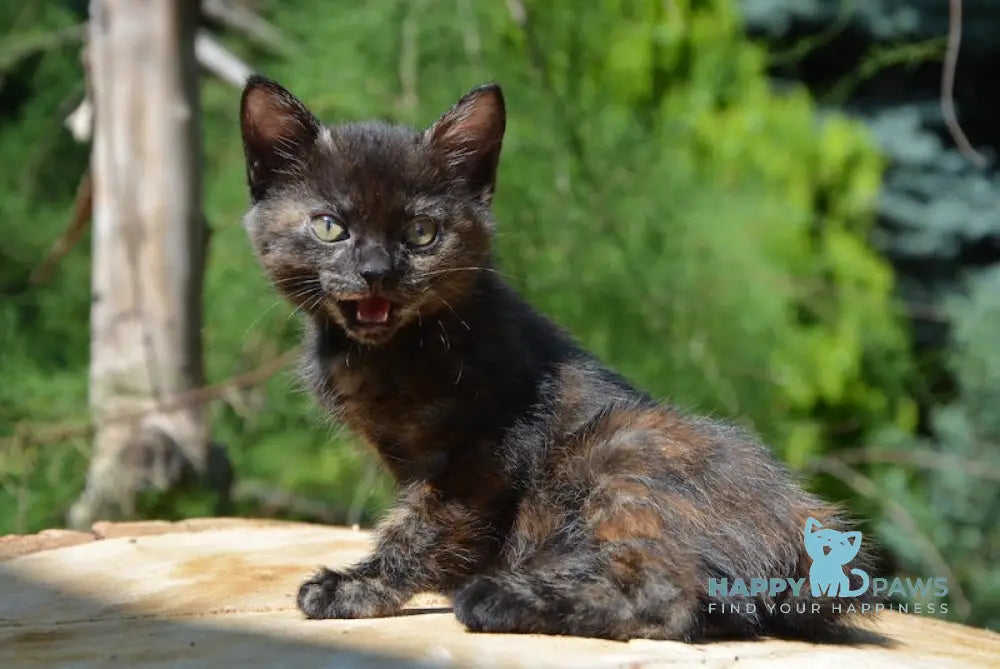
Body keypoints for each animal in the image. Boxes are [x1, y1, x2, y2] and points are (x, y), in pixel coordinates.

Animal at [240, 75, 876, 640]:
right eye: (330, 227)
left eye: (421, 232)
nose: (376, 272)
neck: (393, 350)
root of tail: (800, 529)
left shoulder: (484, 453)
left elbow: (424, 528)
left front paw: (356, 588)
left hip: (624, 449)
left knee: (670, 597)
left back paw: (499, 598)